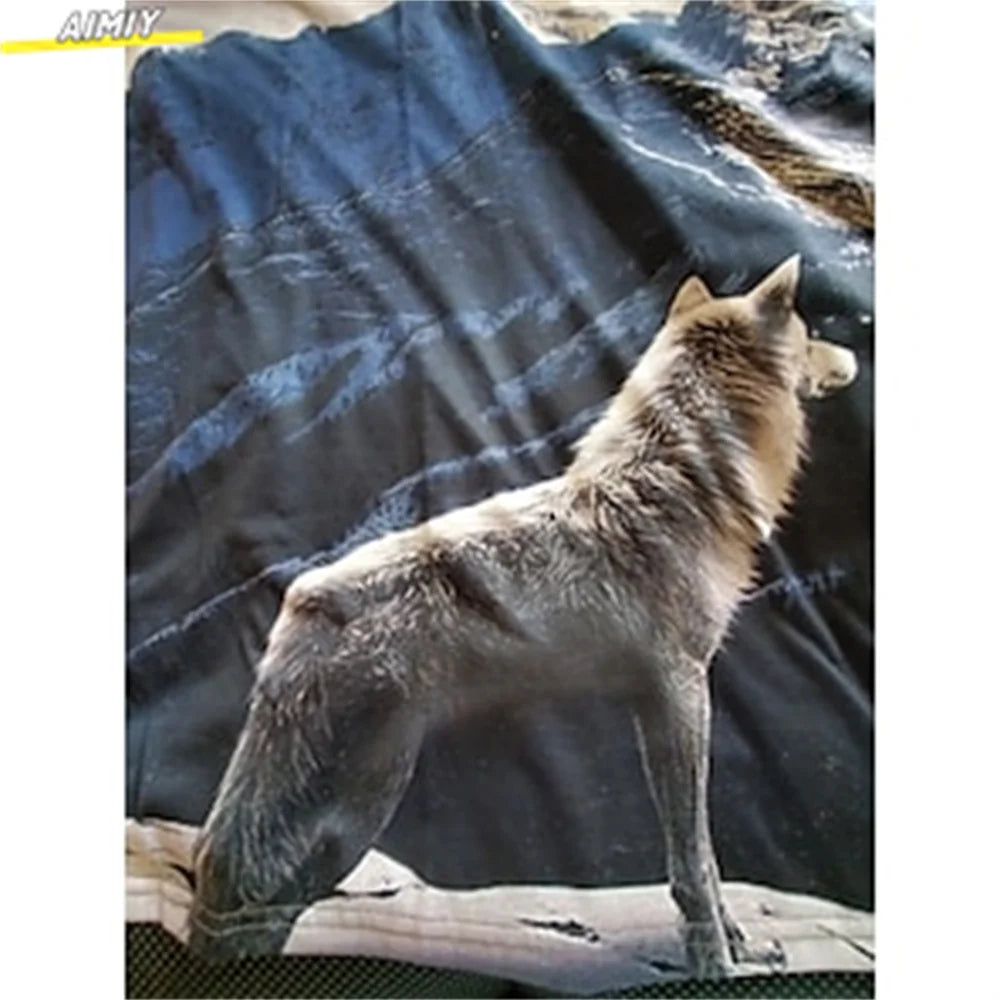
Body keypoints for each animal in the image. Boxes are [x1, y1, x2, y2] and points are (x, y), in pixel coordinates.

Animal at [189, 255, 858, 976]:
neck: (685, 477)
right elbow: (693, 863)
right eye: (813, 333)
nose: (850, 355)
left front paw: (737, 945)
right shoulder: (683, 692)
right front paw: (714, 965)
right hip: (352, 816)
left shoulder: (657, 701)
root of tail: (301, 600)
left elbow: (703, 855)